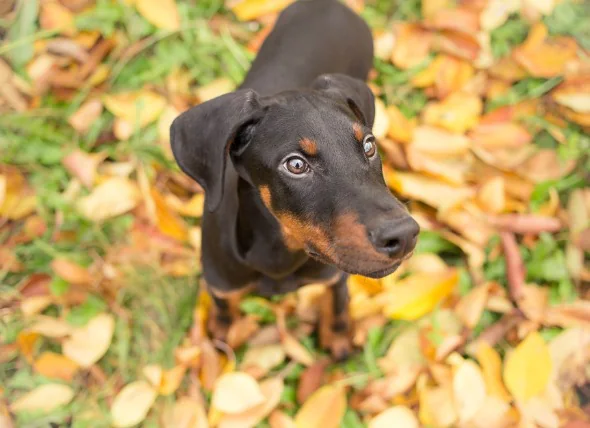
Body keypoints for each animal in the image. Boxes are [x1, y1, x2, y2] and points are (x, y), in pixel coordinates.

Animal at [171, 0, 420, 362]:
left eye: (369, 146)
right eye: (296, 165)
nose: (403, 236)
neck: (280, 251)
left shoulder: (333, 276)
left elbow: (338, 303)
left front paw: (338, 337)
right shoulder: (220, 281)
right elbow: (224, 308)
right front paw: (221, 332)